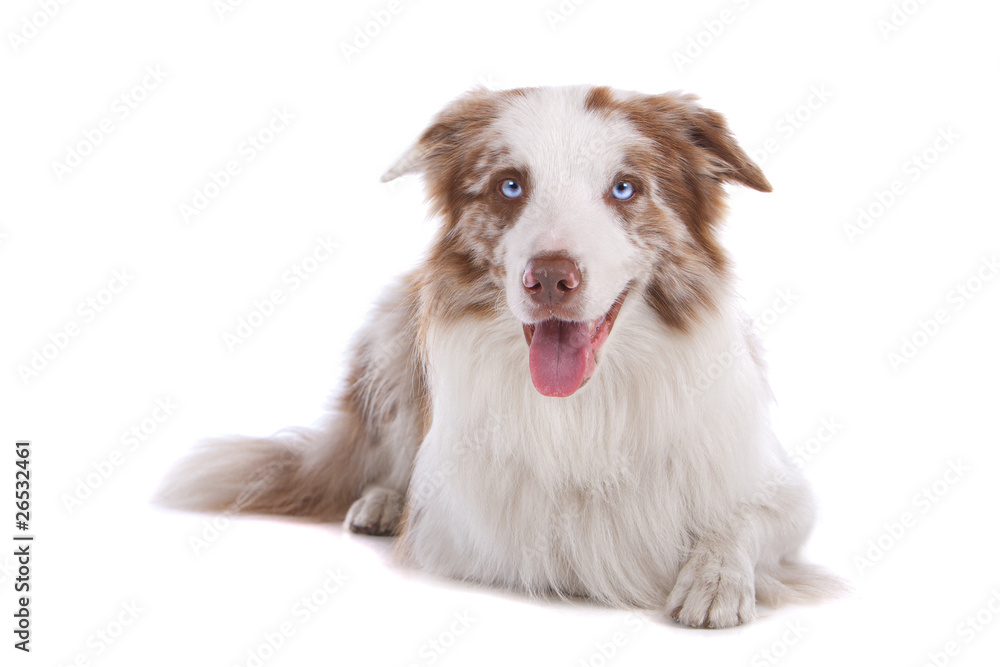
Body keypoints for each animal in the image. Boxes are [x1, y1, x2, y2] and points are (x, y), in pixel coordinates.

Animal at [160, 86, 848, 628]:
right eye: (509, 186)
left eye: (625, 188)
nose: (549, 278)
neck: (589, 405)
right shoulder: (468, 523)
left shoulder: (781, 487)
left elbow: (742, 521)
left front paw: (715, 578)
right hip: (390, 330)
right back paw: (383, 502)